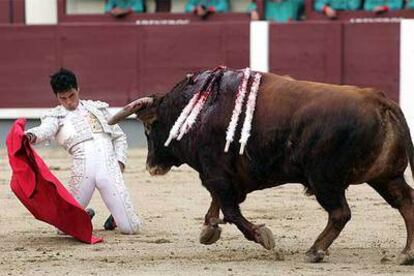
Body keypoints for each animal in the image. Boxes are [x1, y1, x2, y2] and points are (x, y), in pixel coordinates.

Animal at [109, 68, 414, 264]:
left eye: (149, 127)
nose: (152, 166)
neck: (198, 110)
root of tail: (379, 99)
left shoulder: (216, 175)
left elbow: (231, 211)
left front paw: (262, 236)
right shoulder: (222, 177)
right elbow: (218, 204)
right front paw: (209, 230)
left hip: (325, 179)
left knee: (340, 213)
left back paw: (315, 251)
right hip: (385, 176)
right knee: (406, 202)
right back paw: (406, 253)